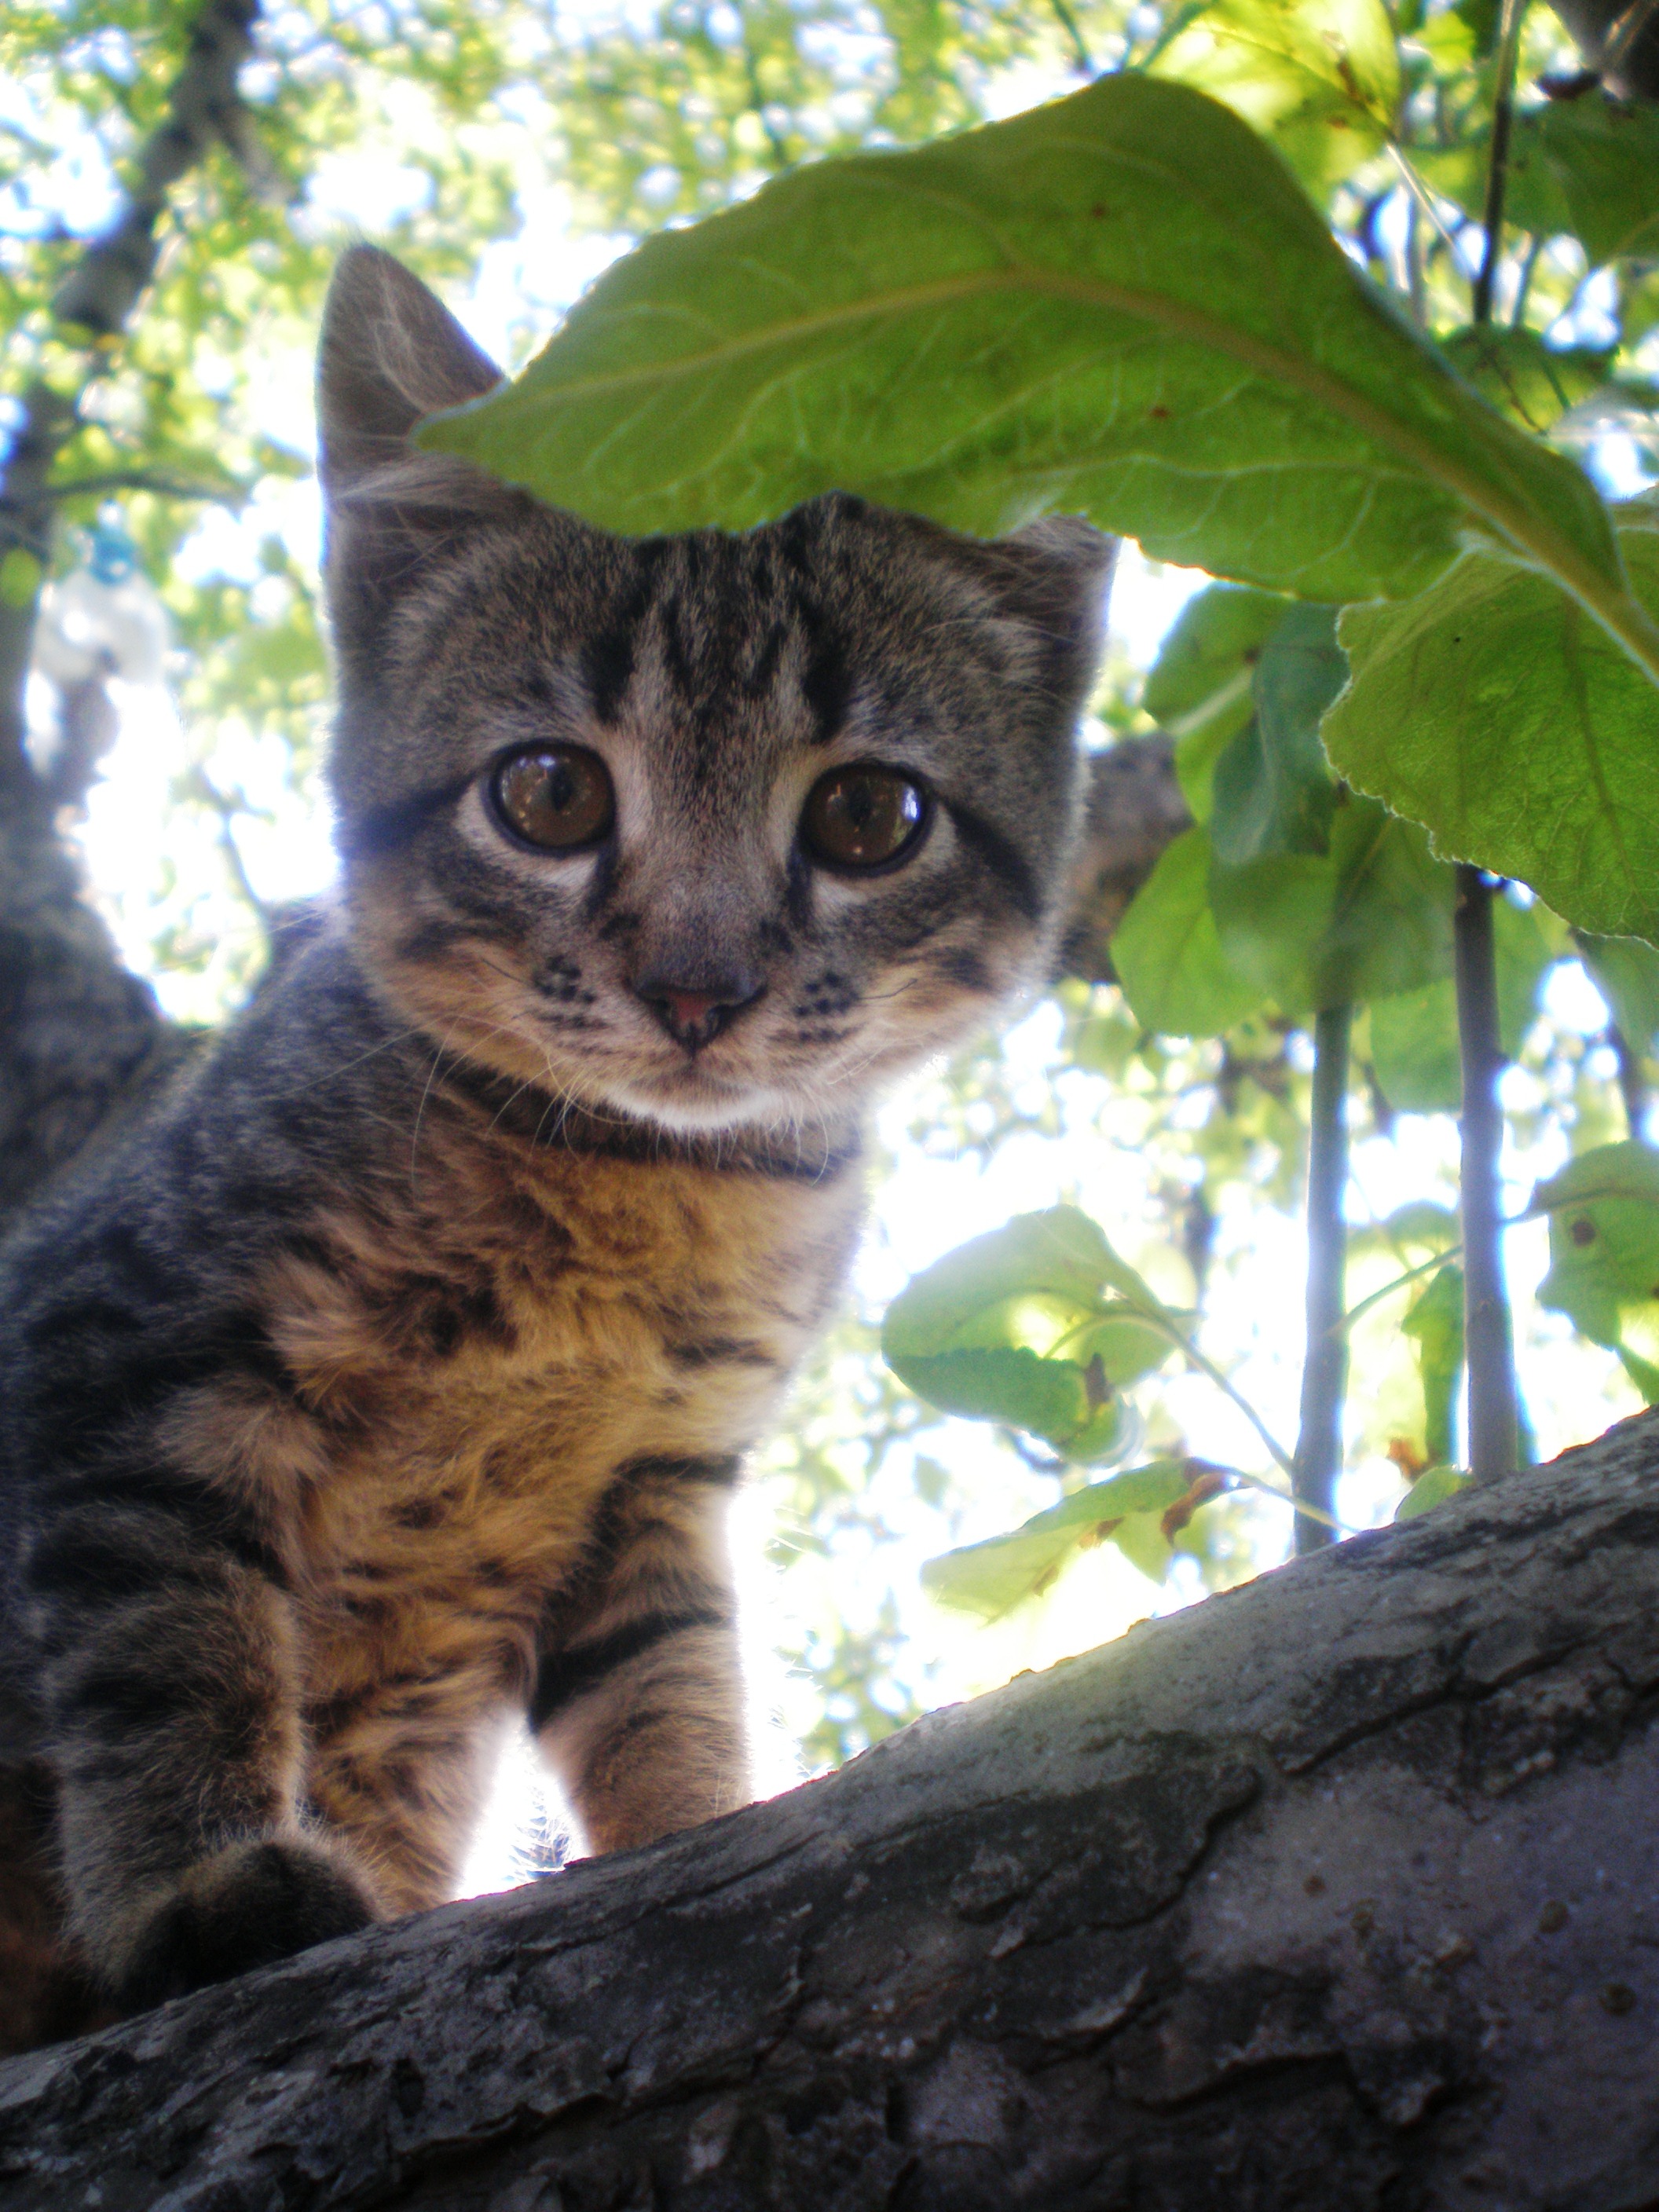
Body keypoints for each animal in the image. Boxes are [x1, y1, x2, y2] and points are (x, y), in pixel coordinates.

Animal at [0, 246, 1119, 2034]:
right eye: (548, 795)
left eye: (870, 818)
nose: (696, 989)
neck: (634, 1191)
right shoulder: (128, 1336)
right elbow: (167, 1639)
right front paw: (193, 1882)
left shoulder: (655, 1474)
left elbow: (667, 1673)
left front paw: (698, 1814)